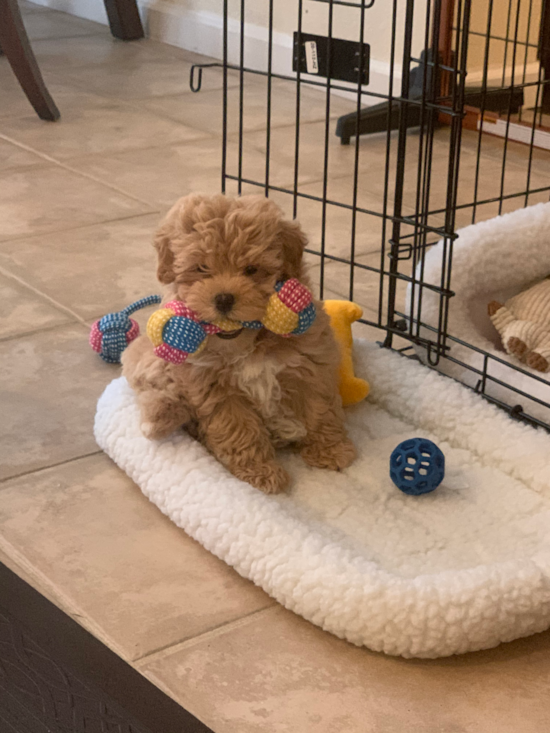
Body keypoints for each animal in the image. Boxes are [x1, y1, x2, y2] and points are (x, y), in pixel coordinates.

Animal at [122, 193, 356, 492]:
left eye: (251, 269)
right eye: (202, 268)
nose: (223, 299)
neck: (248, 346)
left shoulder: (310, 364)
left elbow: (319, 409)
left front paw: (330, 451)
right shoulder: (216, 390)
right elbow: (238, 429)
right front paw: (260, 473)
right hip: (158, 364)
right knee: (157, 390)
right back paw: (157, 420)